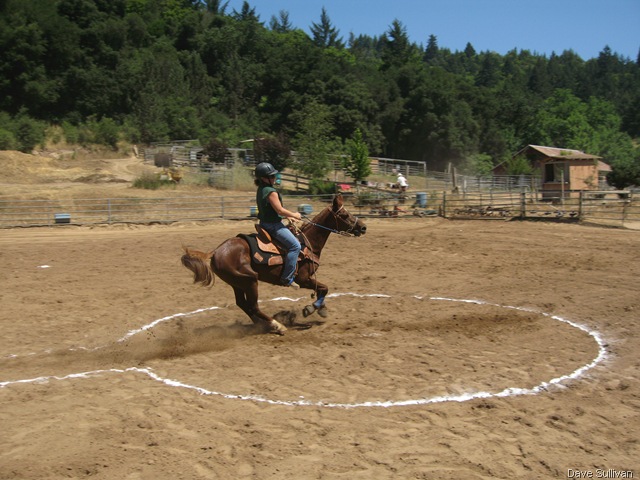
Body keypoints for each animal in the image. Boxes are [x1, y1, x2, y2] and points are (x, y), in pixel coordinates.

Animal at [181, 194, 366, 335]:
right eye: (345, 215)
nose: (363, 227)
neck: (309, 243)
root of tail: (215, 252)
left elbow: (322, 289)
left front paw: (319, 308)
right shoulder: (303, 279)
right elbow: (324, 288)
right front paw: (311, 308)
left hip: (237, 283)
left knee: (243, 304)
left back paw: (262, 325)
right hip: (250, 280)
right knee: (253, 306)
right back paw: (277, 325)